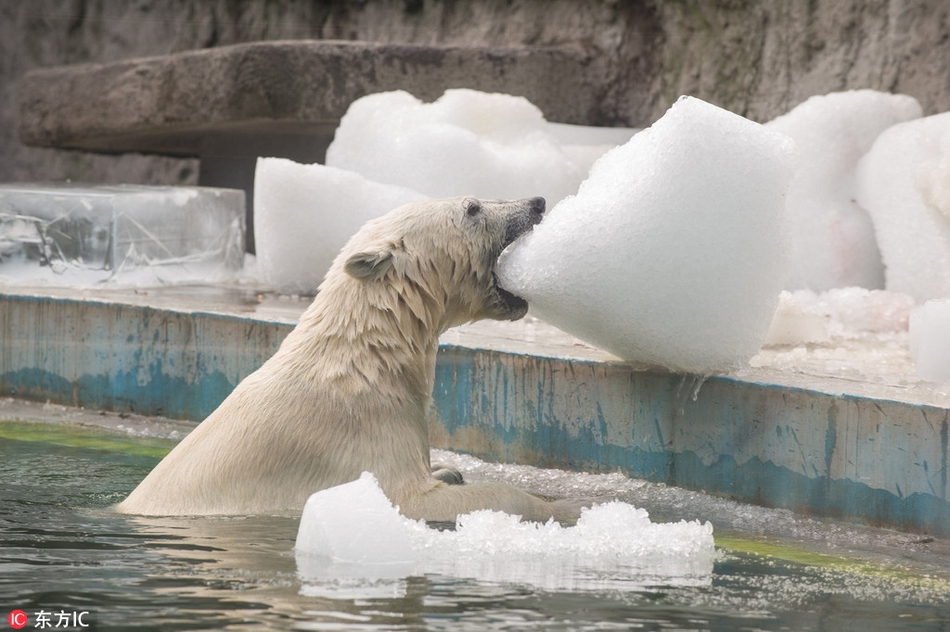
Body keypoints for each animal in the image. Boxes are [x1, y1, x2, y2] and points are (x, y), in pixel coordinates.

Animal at [119, 196, 580, 524]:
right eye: (472, 207)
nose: (537, 202)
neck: (371, 354)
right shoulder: (357, 432)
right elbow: (411, 501)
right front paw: (565, 507)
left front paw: (448, 470)